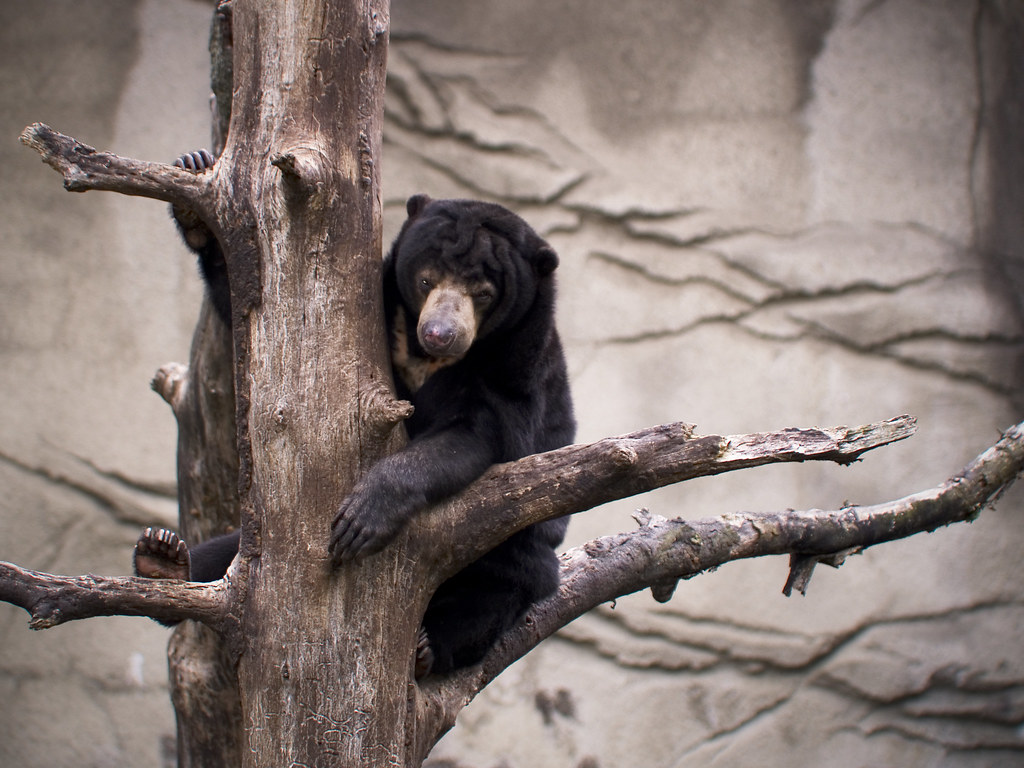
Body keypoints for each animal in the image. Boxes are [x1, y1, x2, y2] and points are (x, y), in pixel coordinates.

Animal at [136, 183, 575, 677]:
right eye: (426, 280)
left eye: (483, 293)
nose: (440, 333)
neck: (429, 359)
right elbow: (241, 306)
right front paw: (194, 205)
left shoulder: (516, 364)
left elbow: (477, 434)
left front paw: (361, 518)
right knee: (223, 553)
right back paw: (163, 560)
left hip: (518, 541)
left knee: (507, 584)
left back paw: (428, 646)